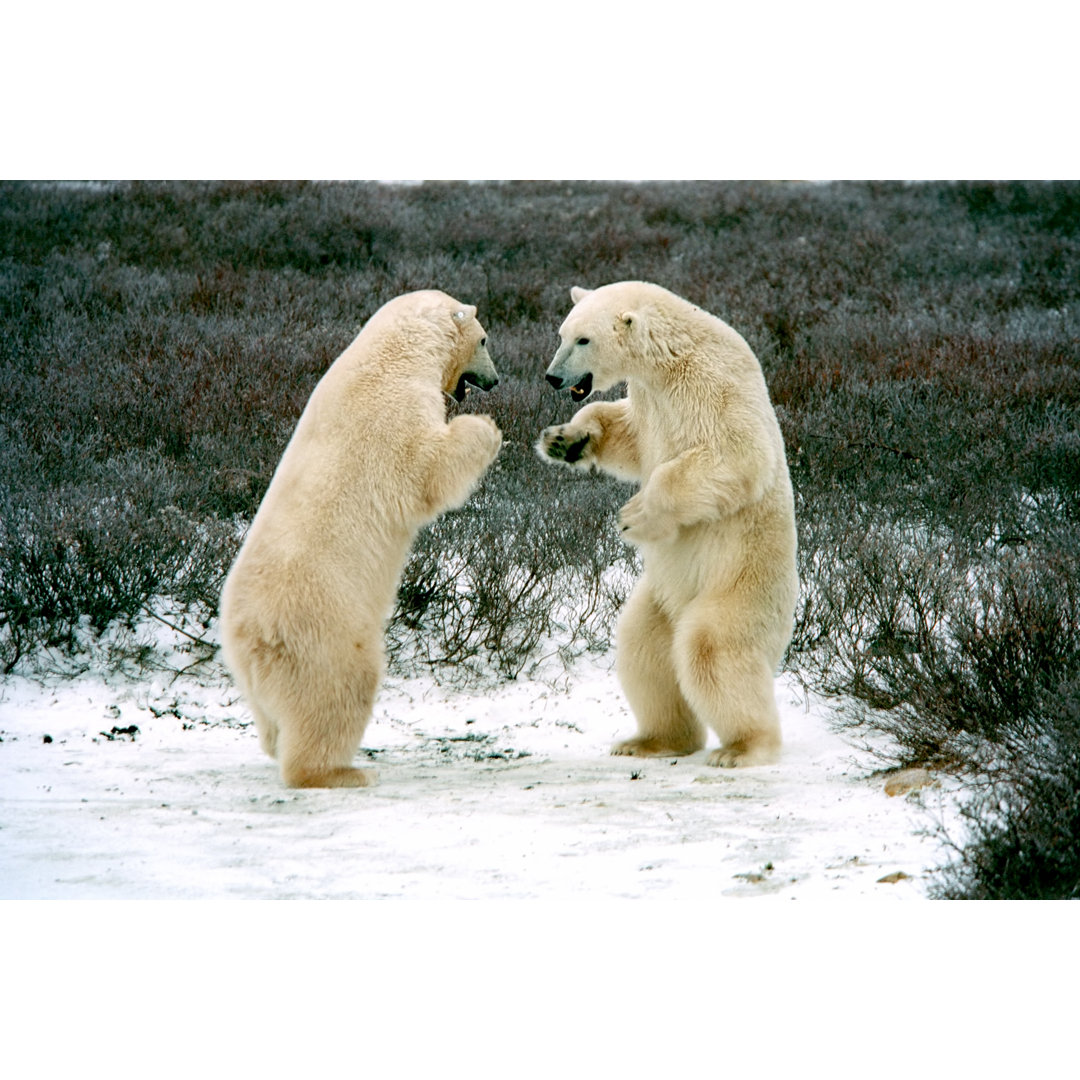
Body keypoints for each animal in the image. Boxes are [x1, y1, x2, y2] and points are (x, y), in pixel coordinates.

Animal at [219, 290, 502, 788]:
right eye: (484, 338)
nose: (495, 380)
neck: (393, 355)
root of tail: (252, 635)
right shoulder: (397, 412)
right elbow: (429, 469)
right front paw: (487, 428)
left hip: (249, 666)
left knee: (271, 717)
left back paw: (276, 743)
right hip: (325, 628)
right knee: (340, 691)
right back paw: (337, 771)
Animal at [537, 281, 798, 767]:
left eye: (583, 340)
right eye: (562, 334)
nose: (553, 377)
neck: (672, 358)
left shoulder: (714, 386)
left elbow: (735, 454)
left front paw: (636, 517)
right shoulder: (648, 399)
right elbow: (628, 434)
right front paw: (566, 439)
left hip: (740, 584)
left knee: (713, 649)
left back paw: (743, 748)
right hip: (657, 597)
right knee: (644, 651)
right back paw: (650, 741)